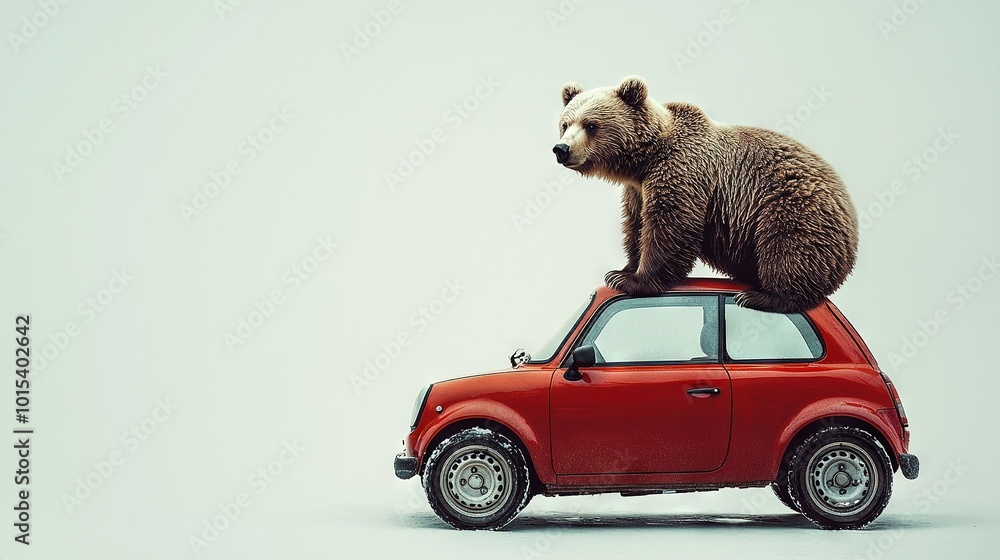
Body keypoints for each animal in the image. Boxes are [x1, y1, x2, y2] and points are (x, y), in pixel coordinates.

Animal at [556, 77, 860, 316]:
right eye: (565, 124)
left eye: (591, 125)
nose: (561, 149)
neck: (646, 159)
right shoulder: (638, 189)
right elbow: (636, 224)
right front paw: (622, 270)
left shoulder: (682, 170)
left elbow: (671, 225)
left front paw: (633, 280)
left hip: (792, 206)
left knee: (789, 249)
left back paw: (761, 296)